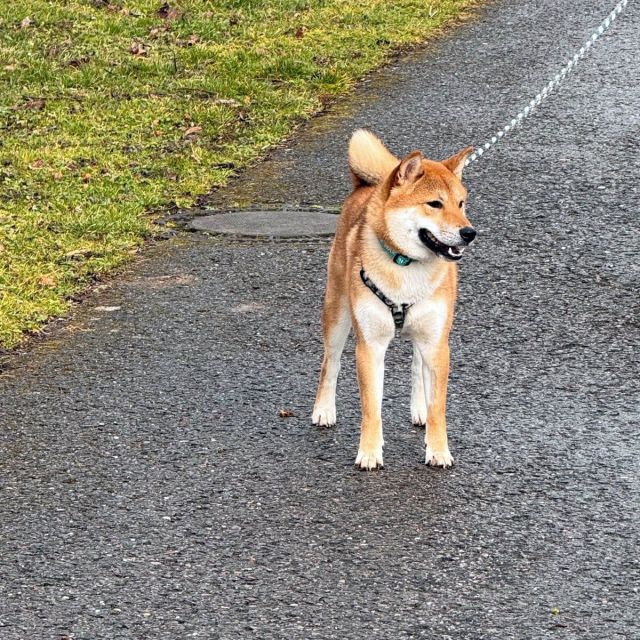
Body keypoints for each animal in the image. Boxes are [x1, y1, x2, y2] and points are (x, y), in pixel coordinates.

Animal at [310, 130, 476, 470]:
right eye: (434, 204)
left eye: (461, 203)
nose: (469, 232)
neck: (406, 267)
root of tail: (364, 187)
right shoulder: (370, 346)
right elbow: (371, 408)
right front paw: (369, 452)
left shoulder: (438, 343)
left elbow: (438, 406)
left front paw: (438, 449)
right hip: (337, 313)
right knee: (329, 363)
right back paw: (324, 410)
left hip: (427, 333)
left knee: (416, 366)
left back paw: (420, 410)